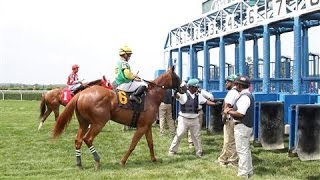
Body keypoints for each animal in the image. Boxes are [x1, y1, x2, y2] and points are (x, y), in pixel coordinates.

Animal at [51, 67, 184, 169]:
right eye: (177, 77)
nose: (185, 87)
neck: (151, 96)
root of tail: (81, 94)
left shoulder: (147, 126)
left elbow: (150, 143)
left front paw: (154, 159)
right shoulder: (141, 127)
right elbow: (133, 144)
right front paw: (123, 161)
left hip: (84, 123)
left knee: (78, 140)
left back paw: (79, 163)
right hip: (99, 123)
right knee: (87, 139)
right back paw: (97, 161)